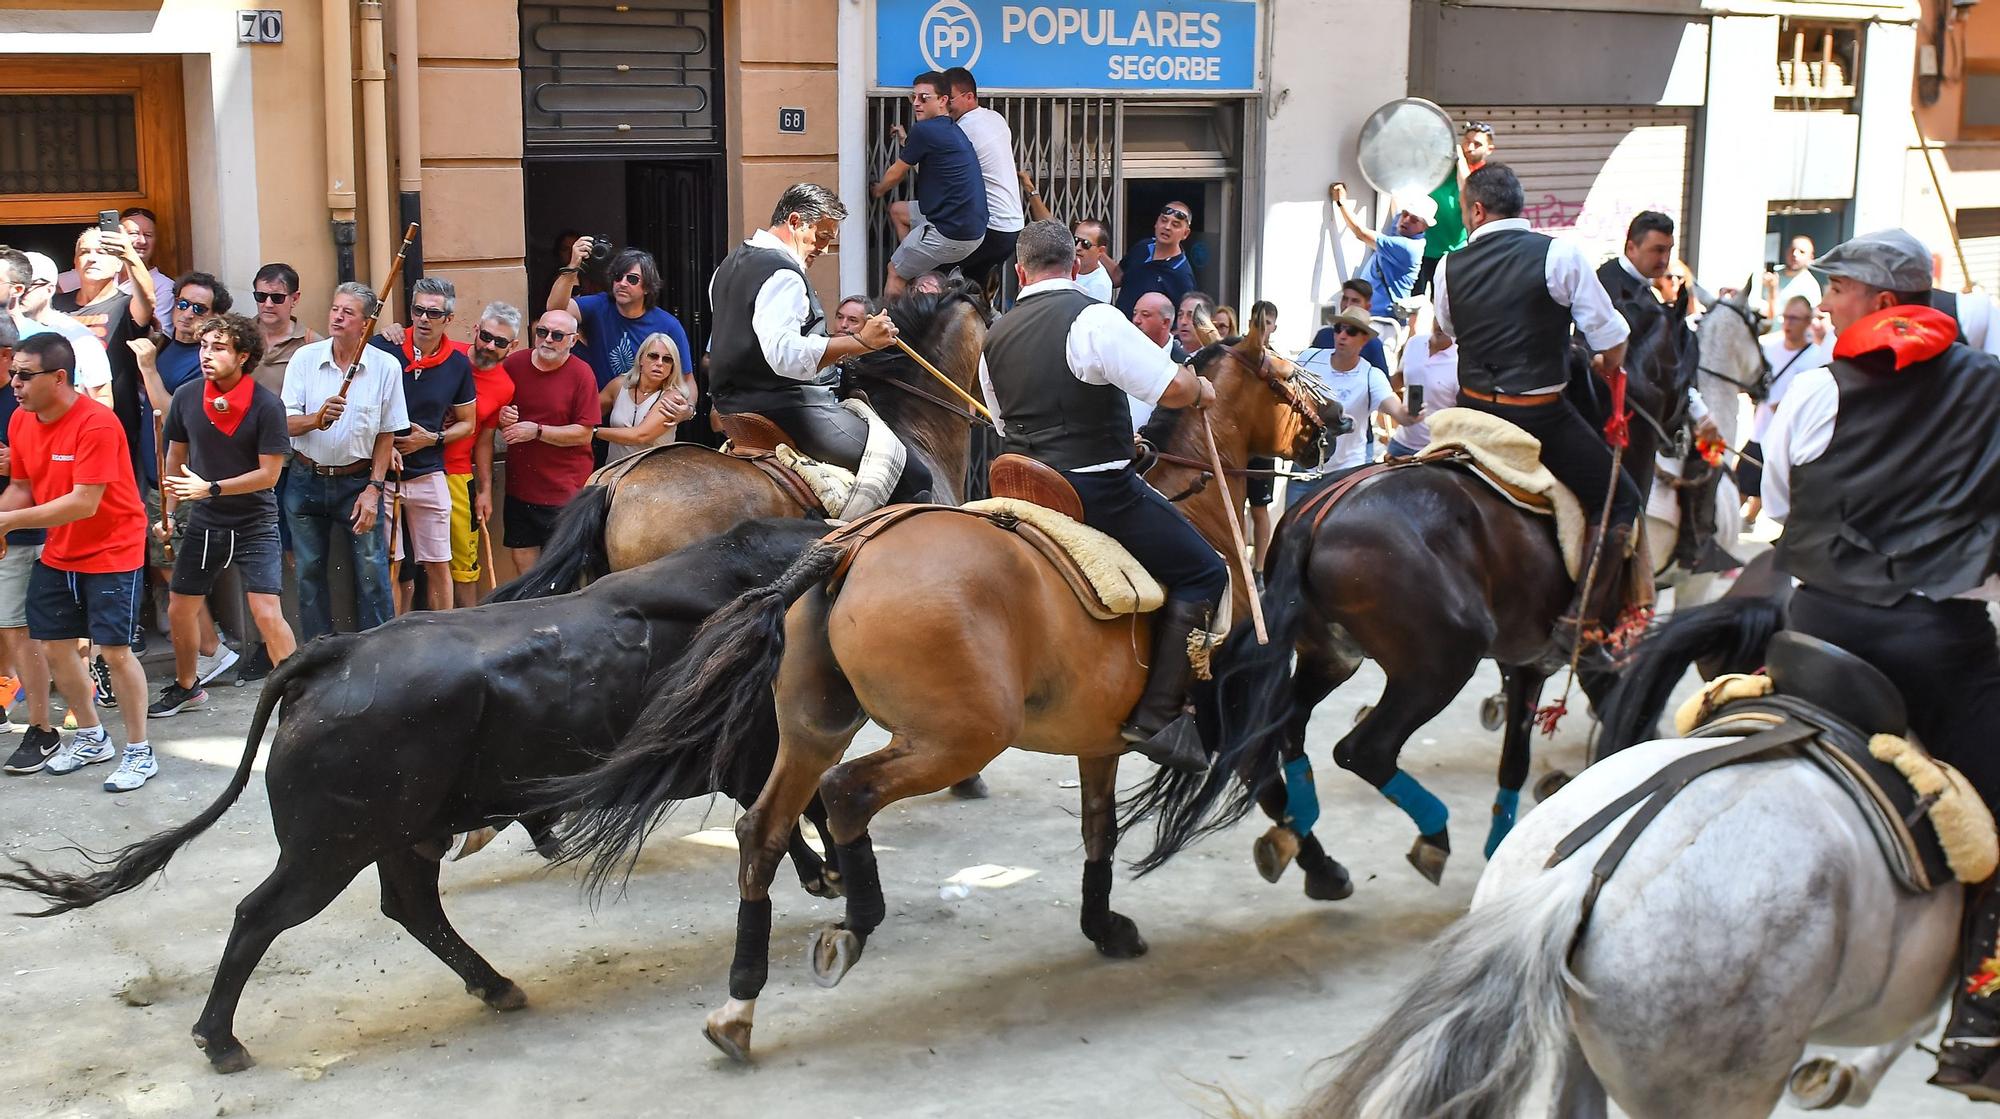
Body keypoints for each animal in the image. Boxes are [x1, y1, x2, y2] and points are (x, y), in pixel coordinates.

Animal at [0, 519, 836, 1079]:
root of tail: (330, 652)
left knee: (410, 904)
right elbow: (800, 810)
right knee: (263, 912)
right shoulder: (755, 752)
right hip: (329, 846)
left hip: (399, 833)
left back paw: (496, 984)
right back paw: (220, 1038)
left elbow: (797, 813)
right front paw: (823, 873)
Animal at [540, 319, 1336, 1063]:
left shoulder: (1099, 734)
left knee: (763, 826)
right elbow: (1270, 779)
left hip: (817, 724)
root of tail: (847, 551)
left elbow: (1099, 829)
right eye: (1290, 373)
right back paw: (853, 919)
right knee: (845, 793)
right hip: (956, 736)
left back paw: (743, 1000)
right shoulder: (1230, 709)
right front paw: (1316, 863)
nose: (1332, 424)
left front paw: (1103, 923)